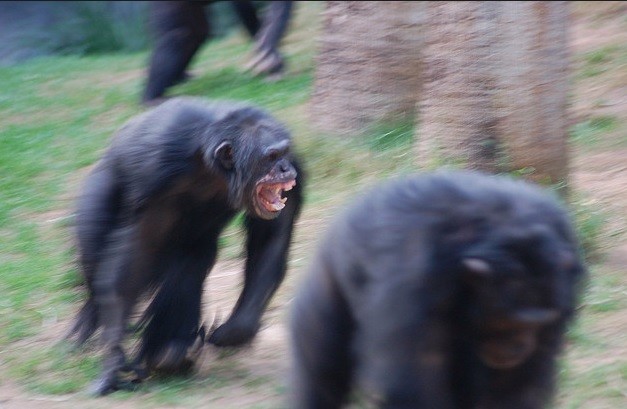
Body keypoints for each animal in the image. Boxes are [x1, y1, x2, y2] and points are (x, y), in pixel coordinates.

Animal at [66, 97, 304, 394]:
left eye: (283, 152)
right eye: (270, 157)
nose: (285, 167)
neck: (211, 164)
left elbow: (271, 236)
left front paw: (234, 331)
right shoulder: (154, 171)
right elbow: (137, 254)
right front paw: (112, 361)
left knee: (191, 263)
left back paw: (170, 354)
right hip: (96, 192)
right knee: (94, 258)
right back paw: (96, 324)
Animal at [142, 1, 294, 103]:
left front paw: (270, 56)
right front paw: (269, 58)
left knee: (197, 33)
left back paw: (178, 78)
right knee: (179, 35)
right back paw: (152, 97)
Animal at [292, 171, 588, 408]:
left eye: (538, 323)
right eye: (508, 322)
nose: (517, 345)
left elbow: (516, 382)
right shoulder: (413, 268)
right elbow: (413, 375)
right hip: (327, 275)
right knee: (321, 366)